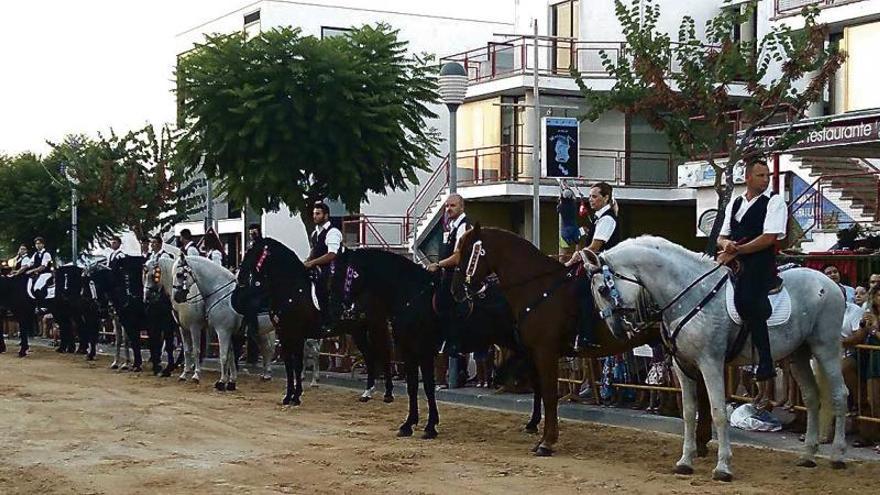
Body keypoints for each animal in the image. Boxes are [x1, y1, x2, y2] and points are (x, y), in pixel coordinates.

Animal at [168, 254, 272, 390]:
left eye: (180, 274)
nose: (176, 297)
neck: (221, 293)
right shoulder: (229, 333)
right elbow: (230, 356)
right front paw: (231, 381)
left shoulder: (220, 331)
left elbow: (222, 356)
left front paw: (221, 382)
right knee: (267, 349)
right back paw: (266, 375)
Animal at [235, 239, 394, 406]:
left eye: (252, 252)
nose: (240, 278)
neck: (292, 291)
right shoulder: (284, 334)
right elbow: (289, 366)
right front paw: (288, 397)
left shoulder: (297, 335)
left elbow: (297, 365)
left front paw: (296, 397)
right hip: (358, 331)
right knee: (370, 356)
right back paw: (367, 393)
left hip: (376, 327)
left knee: (384, 354)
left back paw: (388, 394)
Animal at [326, 250, 516, 440]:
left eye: (345, 273)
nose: (335, 308)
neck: (411, 296)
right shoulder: (408, 351)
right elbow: (412, 387)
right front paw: (408, 425)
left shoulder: (424, 352)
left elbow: (428, 387)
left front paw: (430, 427)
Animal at [450, 227, 712, 456]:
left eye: (467, 252)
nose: (455, 291)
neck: (540, 289)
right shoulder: (533, 352)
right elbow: (540, 390)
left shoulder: (545, 352)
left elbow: (549, 394)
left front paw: (546, 442)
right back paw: (701, 443)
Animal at [588, 238, 848, 482]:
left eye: (602, 290)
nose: (617, 330)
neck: (690, 294)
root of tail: (829, 283)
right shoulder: (683, 366)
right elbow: (688, 413)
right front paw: (685, 462)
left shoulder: (710, 363)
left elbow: (718, 412)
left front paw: (723, 467)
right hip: (799, 354)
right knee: (812, 397)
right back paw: (808, 456)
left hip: (825, 348)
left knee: (839, 395)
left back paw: (837, 456)